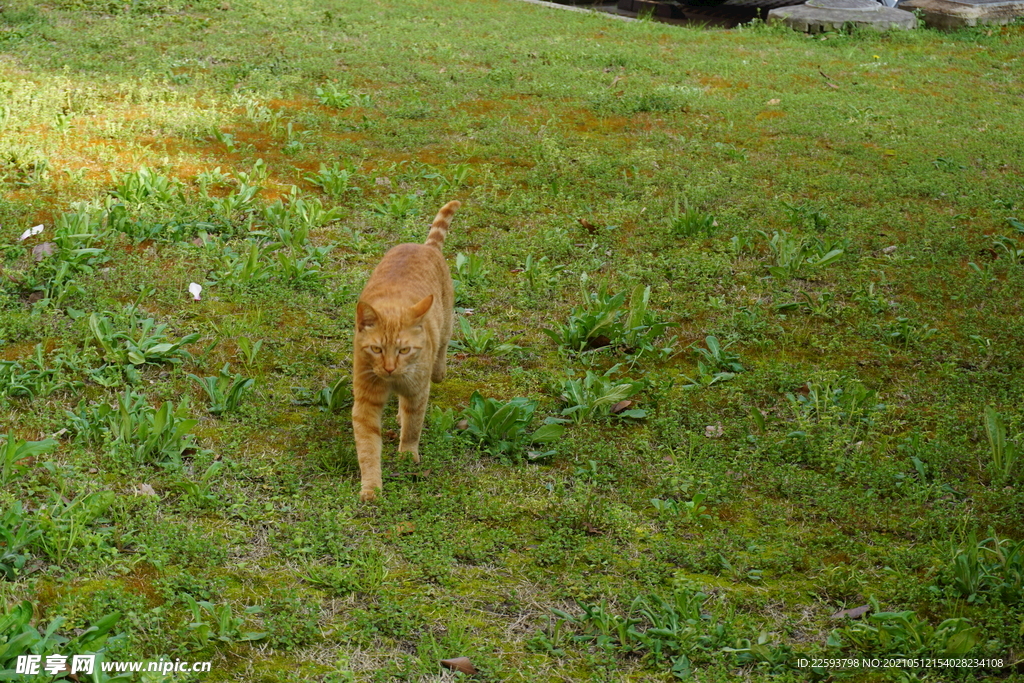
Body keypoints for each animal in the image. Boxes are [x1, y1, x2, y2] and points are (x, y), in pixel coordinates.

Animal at [354, 200, 462, 499]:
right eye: (377, 349)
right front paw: (371, 487)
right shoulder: (365, 403)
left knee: (443, 347)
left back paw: (439, 371)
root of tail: (424, 246)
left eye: (404, 351)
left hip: (445, 323)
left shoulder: (416, 391)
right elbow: (368, 449)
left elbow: (414, 427)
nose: (390, 368)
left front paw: (407, 455)